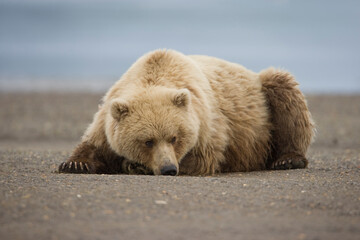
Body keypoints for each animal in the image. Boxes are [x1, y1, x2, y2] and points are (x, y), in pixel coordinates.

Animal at [57, 49, 314, 176]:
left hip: (264, 98)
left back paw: (287, 159)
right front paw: (75, 164)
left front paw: (136, 166)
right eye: (147, 141)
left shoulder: (206, 123)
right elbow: (95, 143)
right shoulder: (108, 115)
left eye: (174, 138)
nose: (168, 169)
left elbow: (202, 157)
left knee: (284, 90)